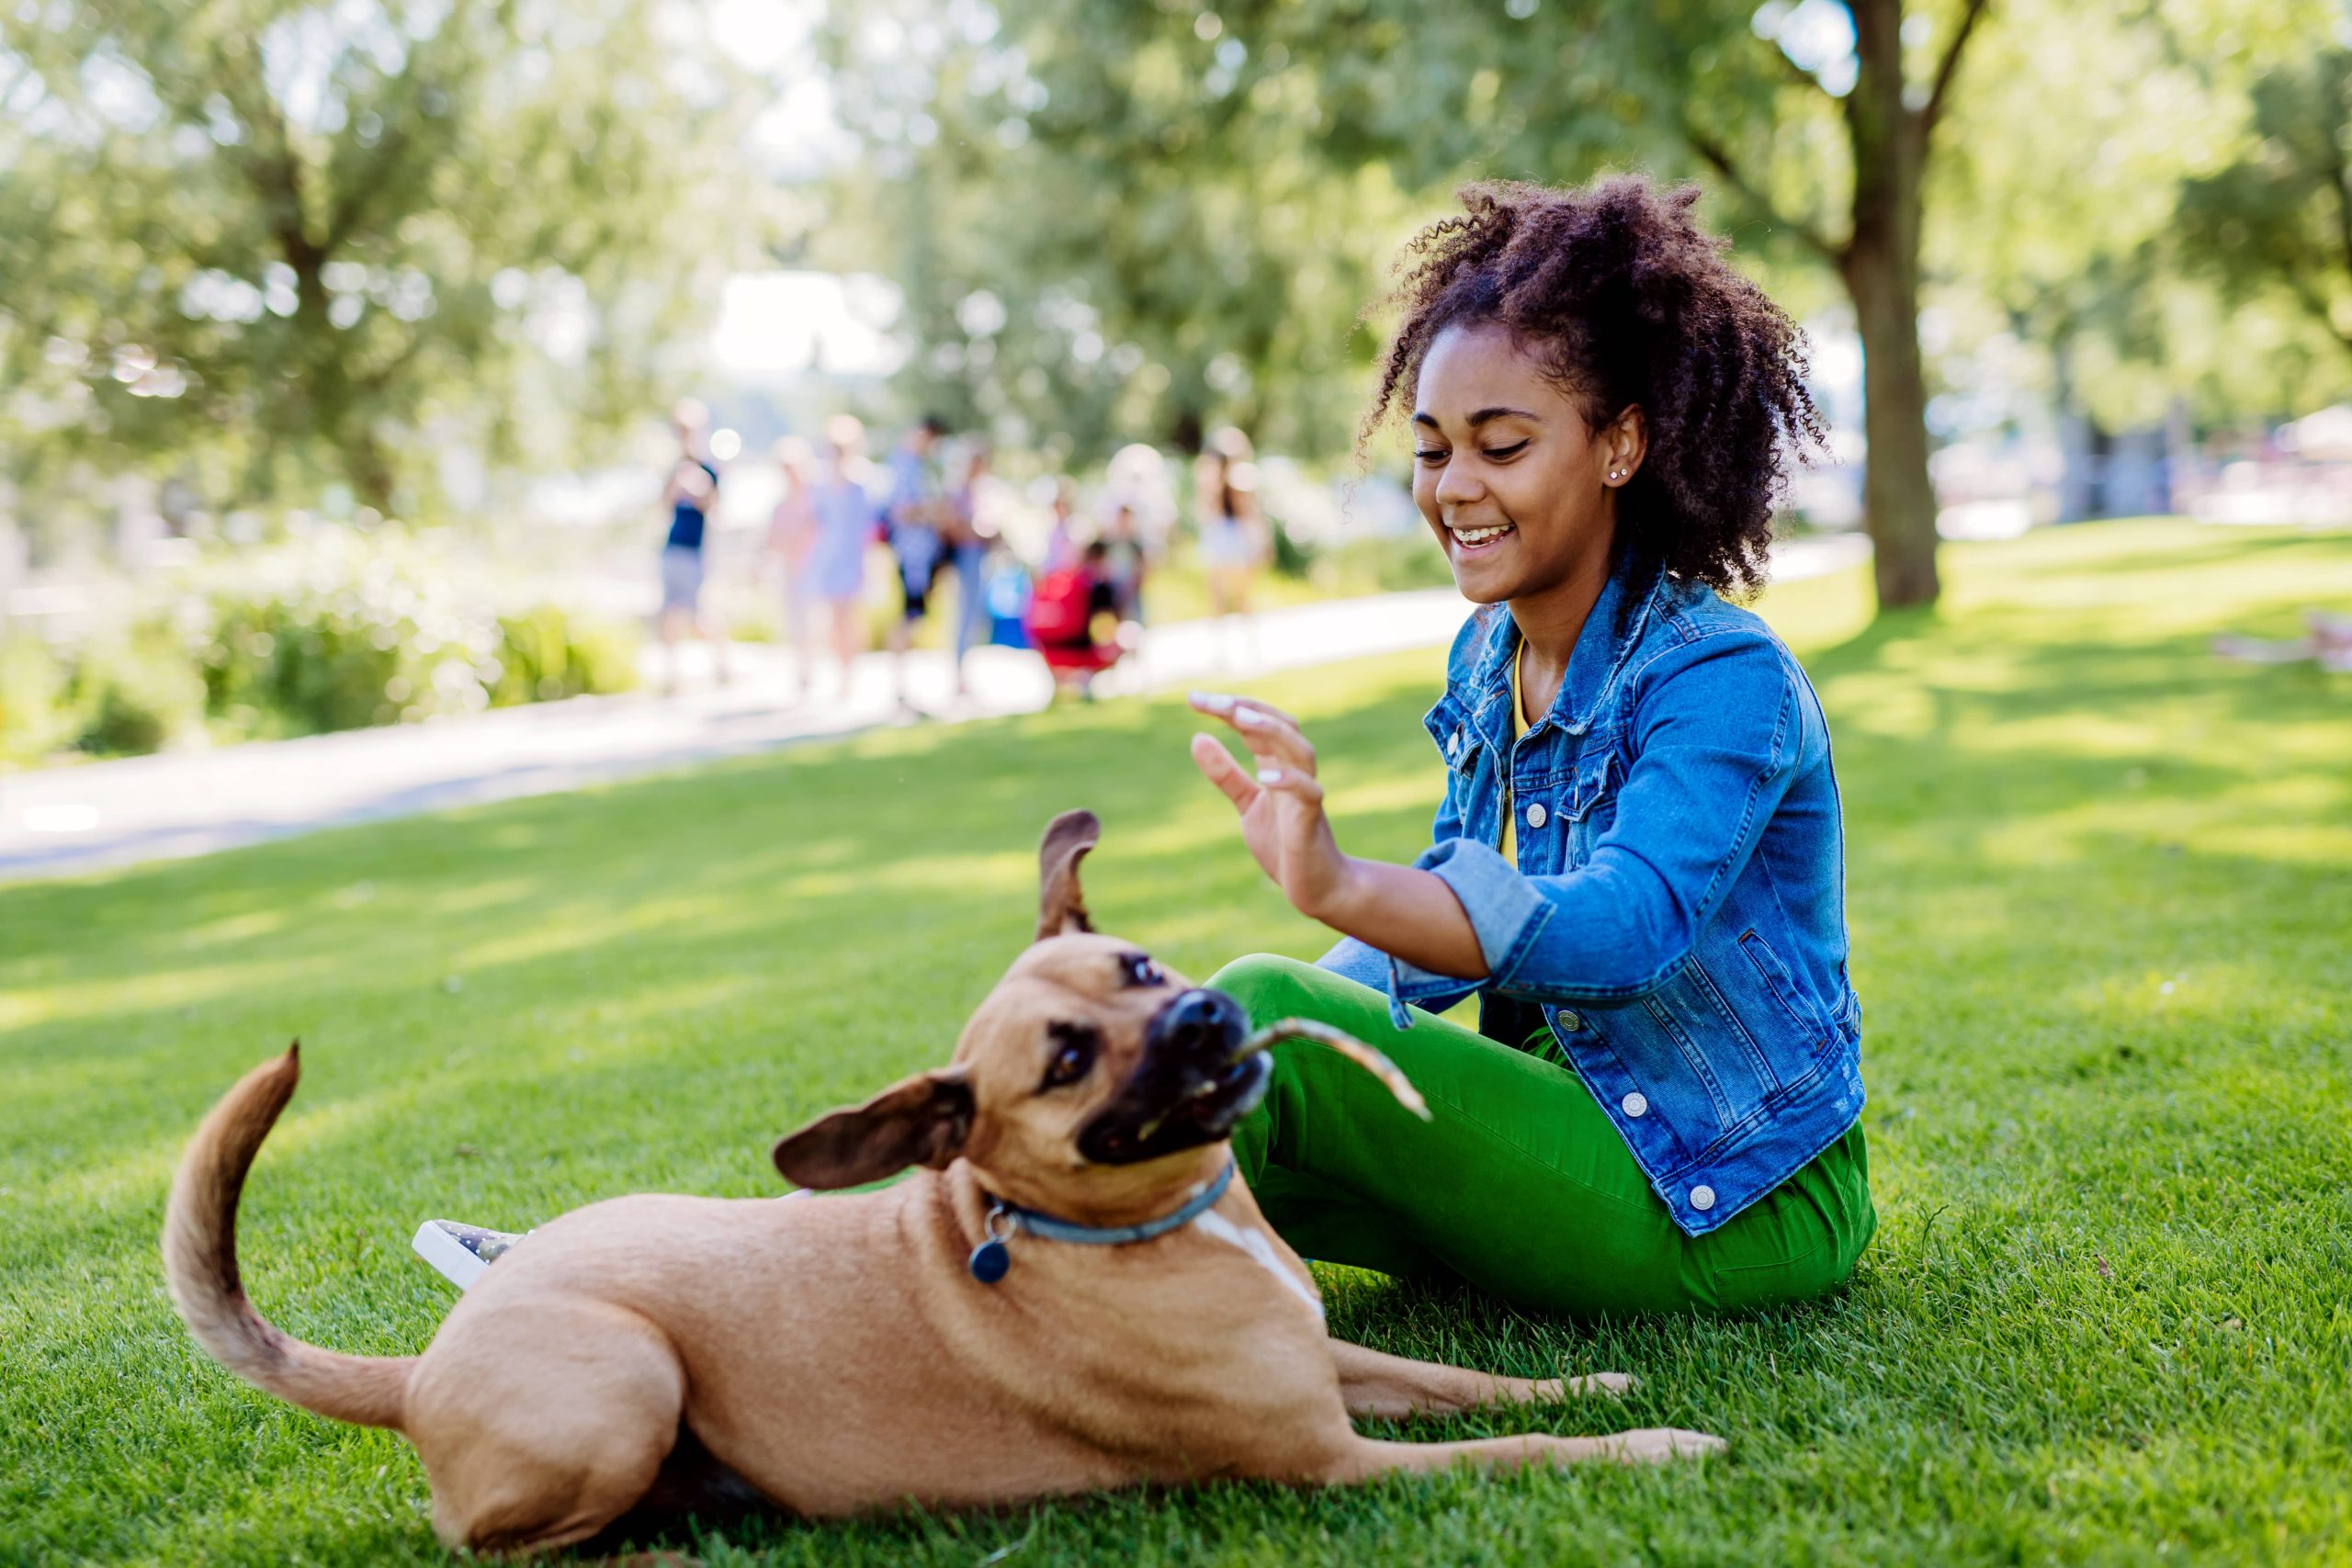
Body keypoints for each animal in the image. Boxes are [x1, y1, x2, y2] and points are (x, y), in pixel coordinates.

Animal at [161, 808, 1712, 1561]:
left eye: (1138, 964)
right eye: (1070, 1058)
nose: (1206, 1012)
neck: (1138, 1228)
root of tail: (422, 1367)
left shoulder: (1335, 1361)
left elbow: (1479, 1384)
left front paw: (1599, 1375)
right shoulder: (1329, 1462)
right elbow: (1527, 1451)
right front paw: (1655, 1443)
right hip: (623, 1375)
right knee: (500, 1548)